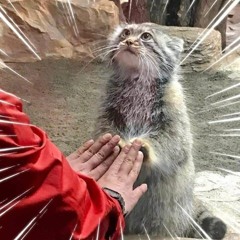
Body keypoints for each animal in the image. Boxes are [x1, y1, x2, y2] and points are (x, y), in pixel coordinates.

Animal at [94, 22, 227, 238]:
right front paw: (118, 143)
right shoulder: (106, 113)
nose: (128, 41)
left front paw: (143, 146)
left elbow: (171, 142)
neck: (137, 82)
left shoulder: (175, 121)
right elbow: (105, 131)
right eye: (126, 32)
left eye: (146, 36)